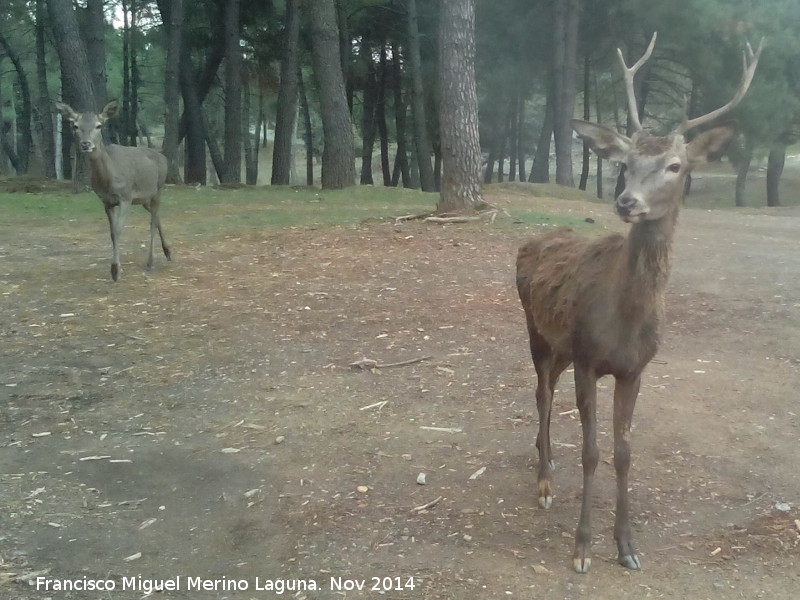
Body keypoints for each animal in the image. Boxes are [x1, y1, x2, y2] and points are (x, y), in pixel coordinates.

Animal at [55, 99, 171, 282]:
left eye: (99, 125)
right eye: (75, 126)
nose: (86, 144)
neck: (108, 180)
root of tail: (164, 157)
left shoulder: (125, 197)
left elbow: (118, 230)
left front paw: (115, 270)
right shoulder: (106, 201)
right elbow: (111, 233)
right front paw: (115, 269)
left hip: (159, 188)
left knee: (152, 221)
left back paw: (150, 261)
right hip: (144, 198)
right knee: (157, 216)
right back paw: (167, 252)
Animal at [516, 31, 760, 572]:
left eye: (675, 165)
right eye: (624, 164)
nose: (626, 201)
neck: (623, 322)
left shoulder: (635, 368)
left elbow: (624, 452)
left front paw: (626, 546)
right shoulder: (589, 358)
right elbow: (591, 451)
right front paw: (582, 547)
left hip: (562, 347)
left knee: (549, 391)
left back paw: (547, 458)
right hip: (536, 331)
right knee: (541, 393)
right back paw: (543, 481)